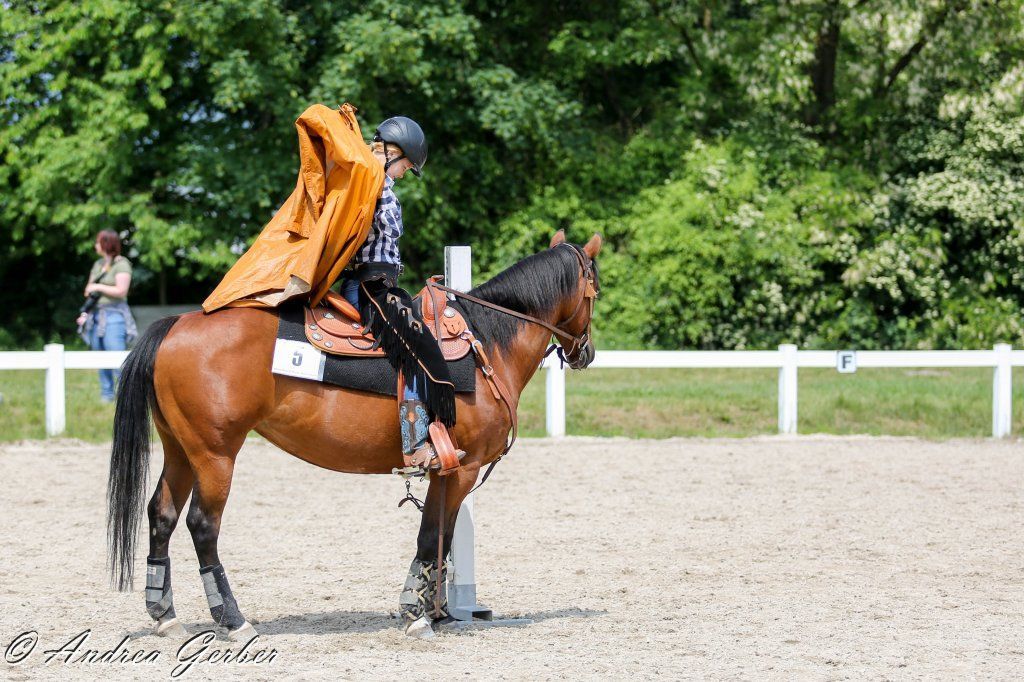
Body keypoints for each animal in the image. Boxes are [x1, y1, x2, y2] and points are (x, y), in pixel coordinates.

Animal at [107, 230, 601, 640]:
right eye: (594, 290)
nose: (587, 352)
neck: (487, 345)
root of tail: (176, 324)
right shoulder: (463, 469)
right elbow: (431, 536)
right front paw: (417, 614)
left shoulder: (445, 471)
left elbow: (438, 538)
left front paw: (437, 610)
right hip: (215, 455)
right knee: (202, 525)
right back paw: (232, 619)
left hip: (180, 450)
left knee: (162, 515)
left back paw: (165, 615)